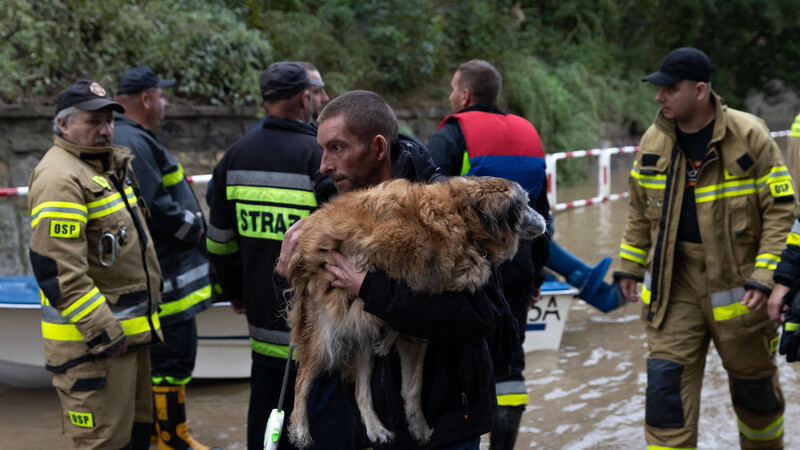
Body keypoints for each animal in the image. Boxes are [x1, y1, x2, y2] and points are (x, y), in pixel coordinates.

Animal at [284, 175, 548, 446]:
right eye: (526, 203)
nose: (544, 221)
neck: (463, 219)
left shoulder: (419, 333)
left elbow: (412, 386)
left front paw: (417, 425)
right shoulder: (375, 246)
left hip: (359, 340)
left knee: (361, 390)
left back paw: (376, 427)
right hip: (324, 335)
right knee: (302, 379)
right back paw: (300, 429)